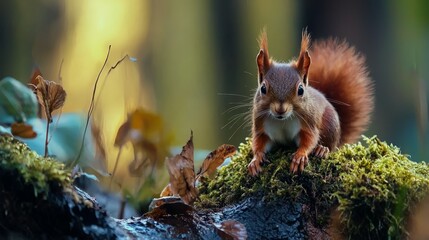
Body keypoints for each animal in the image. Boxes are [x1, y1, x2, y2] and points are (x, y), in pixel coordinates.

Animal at [246, 30, 372, 176]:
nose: (280, 109)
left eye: (300, 90)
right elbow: (259, 143)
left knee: (331, 146)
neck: (283, 120)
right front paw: (255, 160)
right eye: (263, 88)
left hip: (330, 124)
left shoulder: (308, 123)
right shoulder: (261, 127)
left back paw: (322, 149)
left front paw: (300, 156)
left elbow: (309, 139)